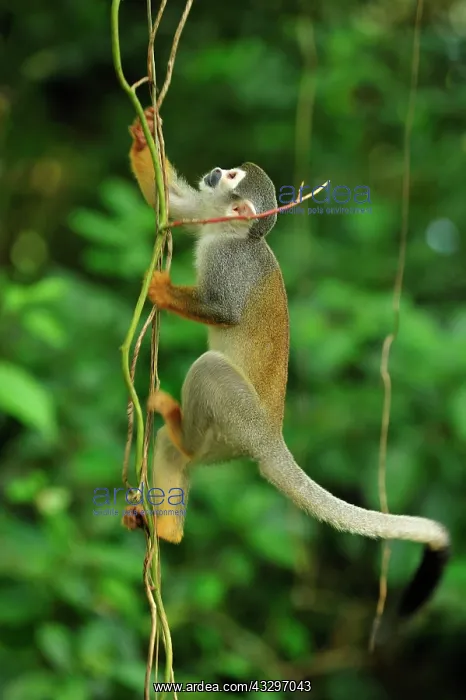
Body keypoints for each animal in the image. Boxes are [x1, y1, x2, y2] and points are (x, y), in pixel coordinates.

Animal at [129, 107, 450, 622]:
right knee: (175, 453)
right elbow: (175, 204)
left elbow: (224, 311)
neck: (231, 233)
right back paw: (167, 526)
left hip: (238, 418)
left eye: (232, 176)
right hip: (229, 442)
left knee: (210, 370)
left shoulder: (229, 259)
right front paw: (143, 136)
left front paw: (161, 290)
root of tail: (271, 439)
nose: (216, 170)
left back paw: (180, 436)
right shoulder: (207, 216)